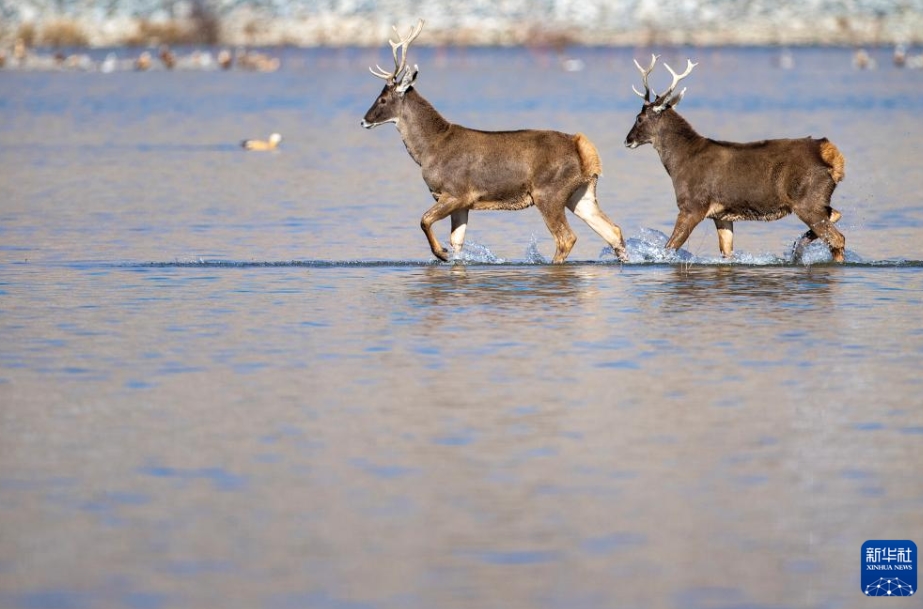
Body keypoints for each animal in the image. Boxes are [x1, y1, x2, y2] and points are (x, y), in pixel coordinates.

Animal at [360, 18, 628, 262]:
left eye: (383, 99)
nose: (364, 120)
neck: (429, 149)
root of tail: (583, 148)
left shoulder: (456, 192)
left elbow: (424, 220)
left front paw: (441, 254)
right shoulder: (462, 202)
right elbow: (457, 241)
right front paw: (451, 257)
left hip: (549, 191)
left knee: (567, 237)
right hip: (580, 192)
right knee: (613, 230)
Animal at [624, 57, 848, 264]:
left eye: (639, 118)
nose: (627, 140)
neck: (679, 162)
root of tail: (833, 155)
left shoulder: (692, 205)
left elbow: (669, 247)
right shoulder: (721, 215)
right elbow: (727, 252)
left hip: (807, 200)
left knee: (837, 238)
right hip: (817, 200)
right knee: (835, 218)